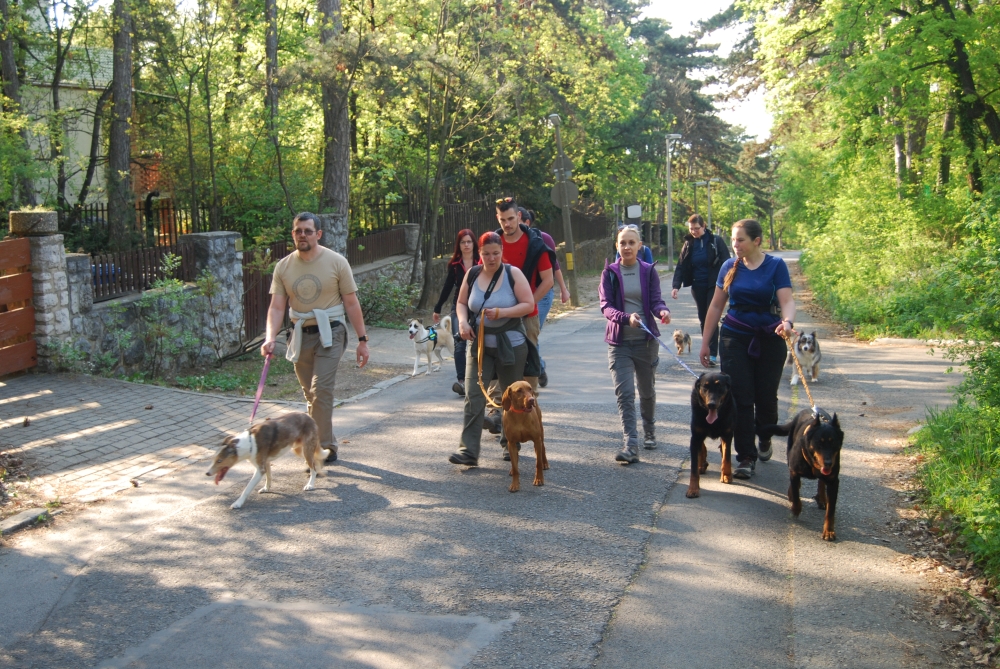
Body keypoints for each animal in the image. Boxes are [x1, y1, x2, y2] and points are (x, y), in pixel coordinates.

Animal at [760, 408, 840, 544]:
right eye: (819, 442)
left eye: (834, 443)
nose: (829, 463)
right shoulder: (795, 471)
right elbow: (796, 492)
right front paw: (796, 508)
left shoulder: (834, 481)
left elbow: (830, 511)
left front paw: (829, 531)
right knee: (795, 484)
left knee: (821, 482)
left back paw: (822, 498)